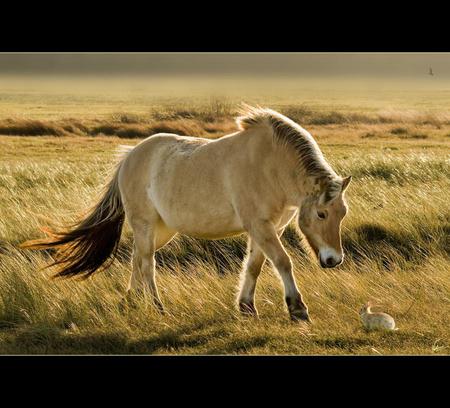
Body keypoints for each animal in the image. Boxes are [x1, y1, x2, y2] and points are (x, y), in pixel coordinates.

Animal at [22, 107, 352, 324]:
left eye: (342, 214)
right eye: (322, 214)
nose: (334, 260)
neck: (271, 165)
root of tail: (129, 157)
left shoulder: (272, 227)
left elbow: (254, 266)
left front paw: (246, 308)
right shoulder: (260, 226)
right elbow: (282, 262)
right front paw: (298, 310)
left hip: (161, 230)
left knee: (137, 259)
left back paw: (130, 302)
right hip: (144, 225)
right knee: (147, 264)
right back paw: (157, 307)